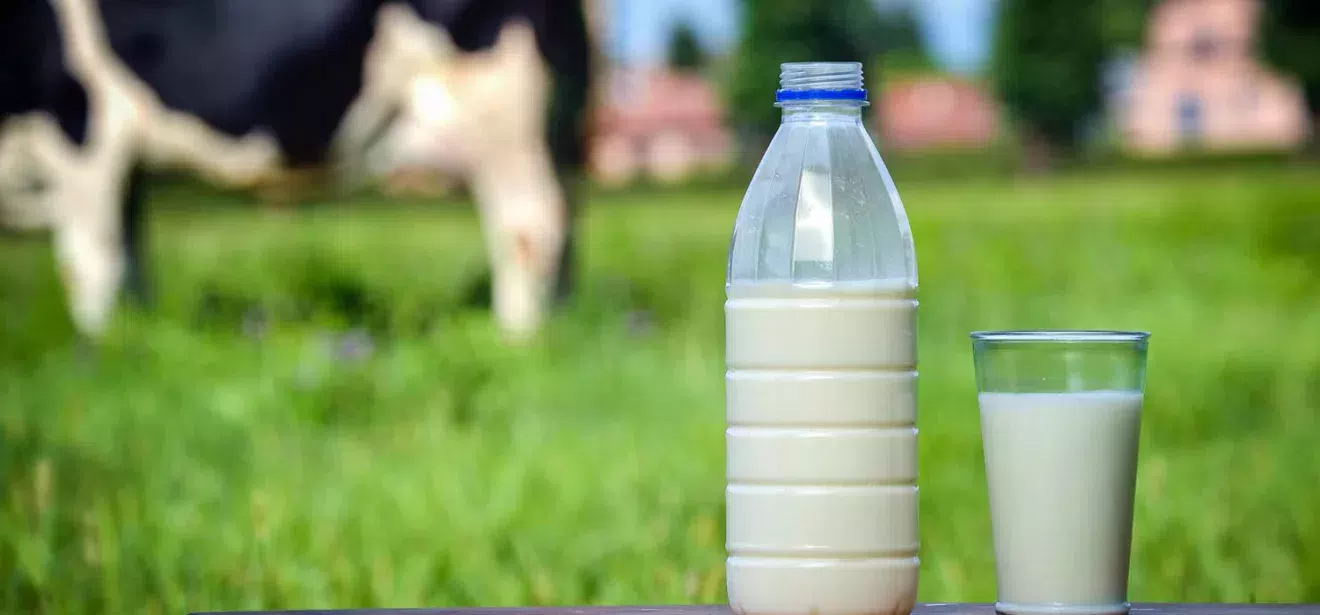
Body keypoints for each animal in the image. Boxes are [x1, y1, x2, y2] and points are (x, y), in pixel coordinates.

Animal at [0, 0, 591, 340]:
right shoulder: (121, 167)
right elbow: (131, 258)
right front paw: (134, 337)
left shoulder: (80, 134)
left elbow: (89, 263)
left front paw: (96, 351)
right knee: (565, 228)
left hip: (503, 112)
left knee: (529, 228)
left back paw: (518, 337)